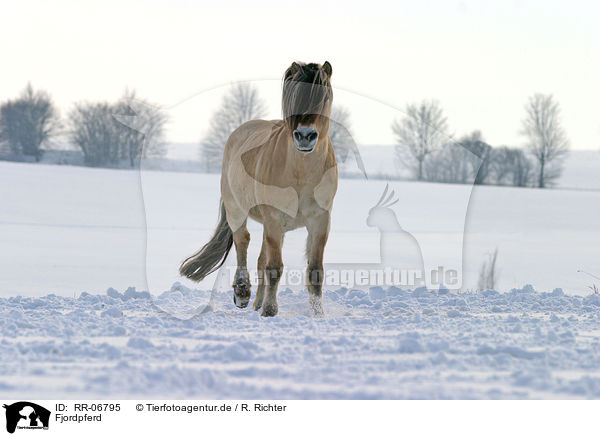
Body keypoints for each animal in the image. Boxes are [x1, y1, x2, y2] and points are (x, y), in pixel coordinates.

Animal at [178, 61, 338, 316]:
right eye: (294, 97)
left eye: (324, 96)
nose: (305, 136)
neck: (302, 174)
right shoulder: (274, 218)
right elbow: (274, 268)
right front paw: (270, 311)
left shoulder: (320, 220)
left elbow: (314, 272)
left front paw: (317, 314)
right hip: (238, 211)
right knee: (243, 241)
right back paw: (243, 293)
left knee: (260, 259)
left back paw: (256, 303)